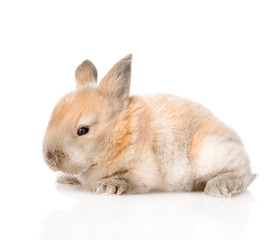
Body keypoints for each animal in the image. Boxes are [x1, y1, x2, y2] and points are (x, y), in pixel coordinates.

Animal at [42, 54, 256, 197]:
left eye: (82, 130)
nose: (49, 157)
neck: (118, 135)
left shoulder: (144, 172)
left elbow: (128, 179)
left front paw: (107, 186)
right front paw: (66, 179)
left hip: (211, 152)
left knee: (243, 174)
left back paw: (219, 186)